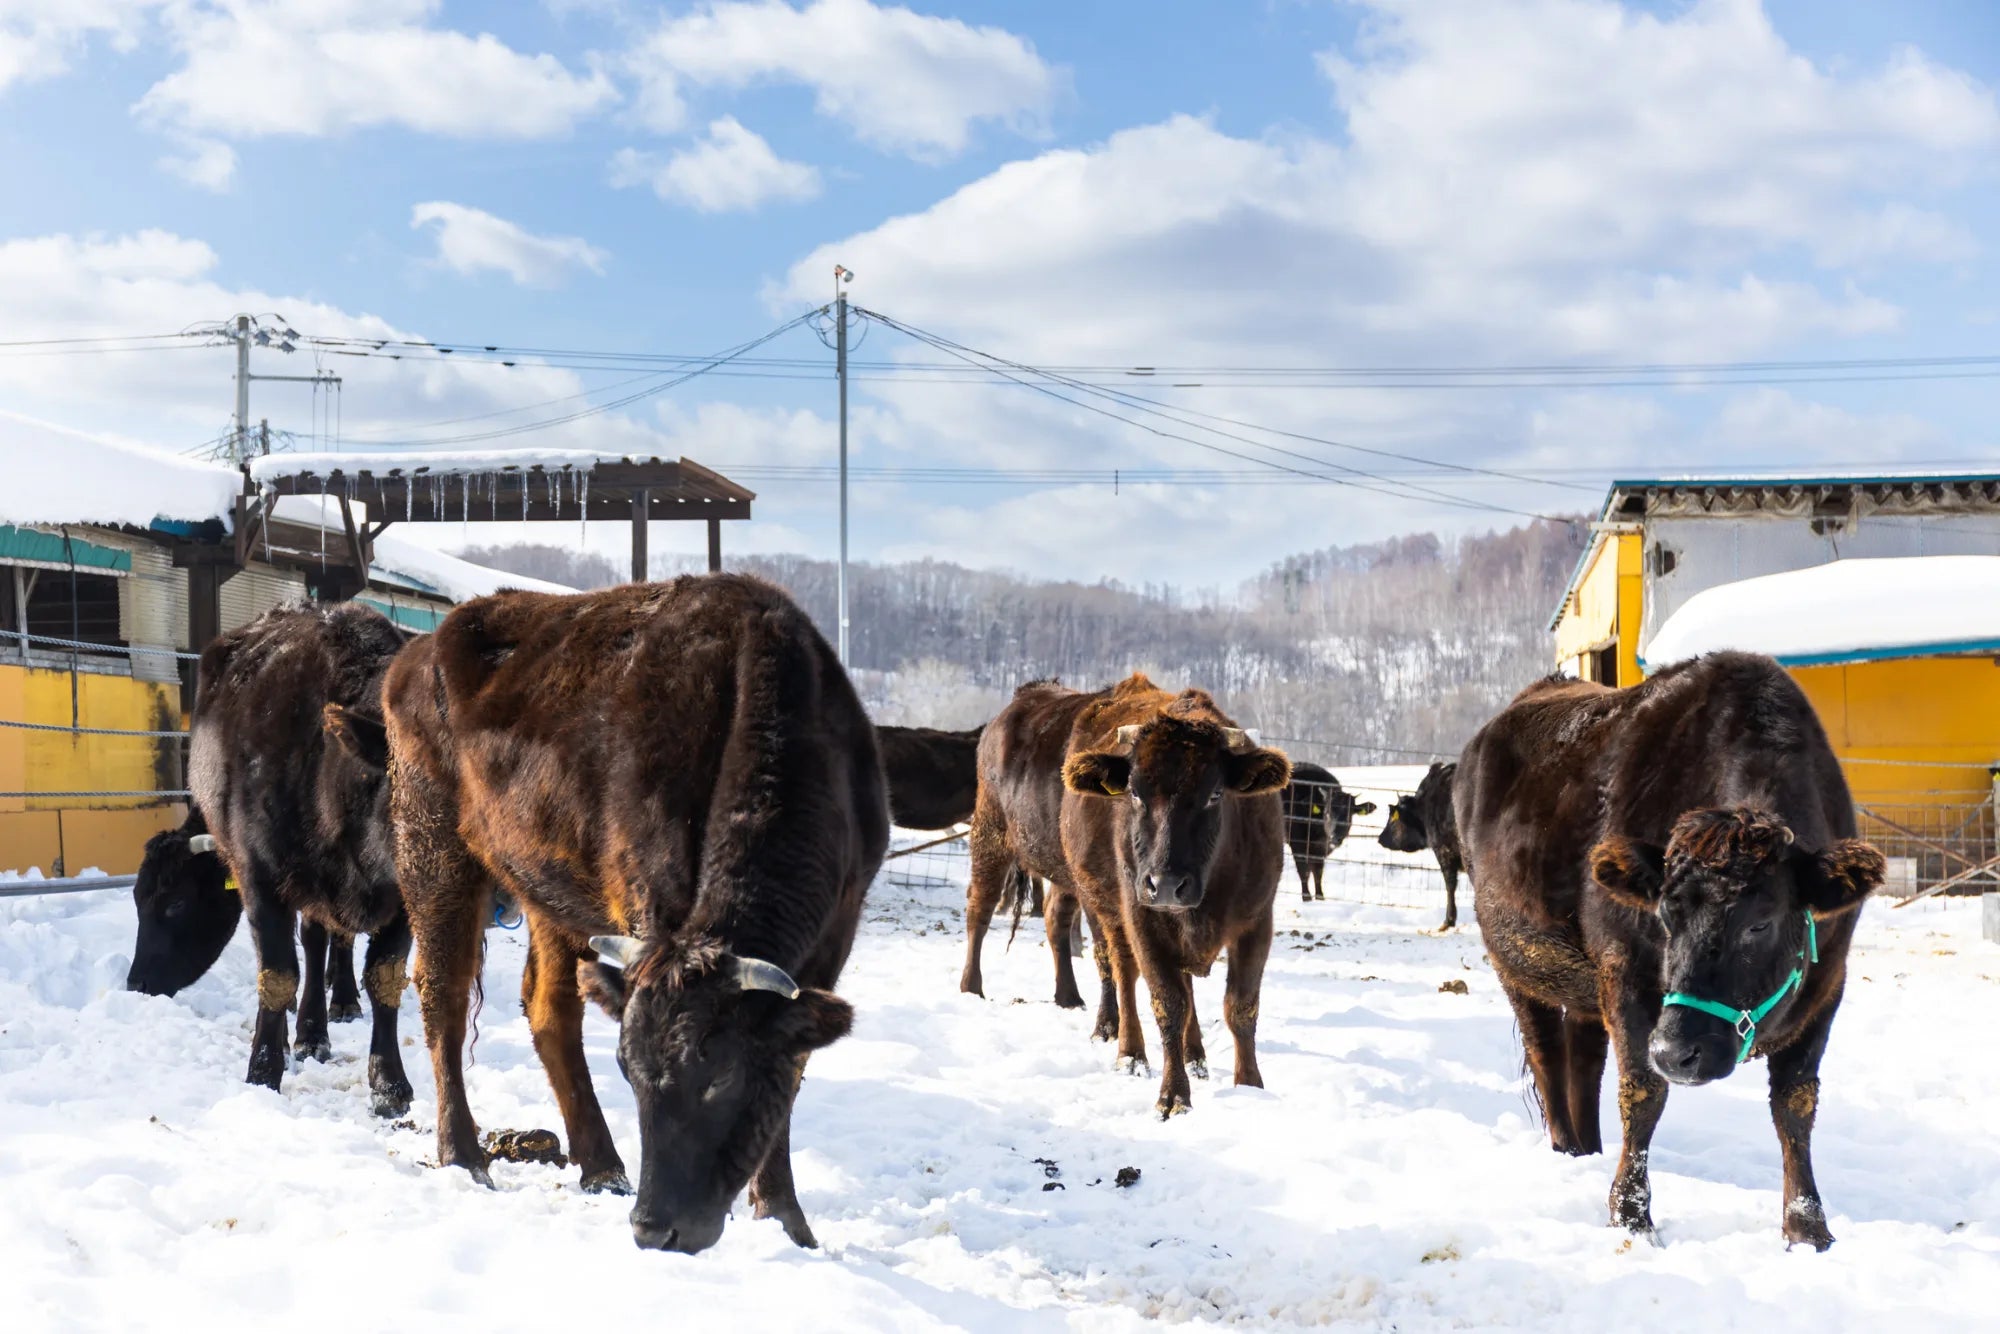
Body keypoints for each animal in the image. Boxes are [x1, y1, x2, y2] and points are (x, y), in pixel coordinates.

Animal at [184, 603, 414, 1116]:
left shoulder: (406, 905)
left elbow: (385, 978)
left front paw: (390, 1085)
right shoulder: (261, 879)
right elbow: (277, 976)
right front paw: (263, 1071)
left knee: (318, 942)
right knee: (304, 951)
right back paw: (304, 1037)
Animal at [383, 575, 887, 1254]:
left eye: (721, 1076)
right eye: (629, 1071)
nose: (653, 1229)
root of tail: (419, 650)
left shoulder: (835, 935)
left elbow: (793, 1068)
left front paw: (785, 1218)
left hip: (549, 889)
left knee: (550, 1009)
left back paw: (602, 1166)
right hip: (434, 848)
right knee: (445, 995)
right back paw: (463, 1154)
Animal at [972, 674, 1289, 1118]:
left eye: (1214, 794)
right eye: (1135, 793)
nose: (1166, 883)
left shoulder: (1257, 922)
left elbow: (1240, 1007)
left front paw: (1249, 1086)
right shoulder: (1142, 920)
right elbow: (1167, 1003)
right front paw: (1173, 1095)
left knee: (1059, 922)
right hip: (995, 837)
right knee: (985, 913)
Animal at [1281, 761, 1375, 901]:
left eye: (1349, 815)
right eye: (1327, 813)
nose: (1336, 838)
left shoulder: (1319, 849)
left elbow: (1318, 872)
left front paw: (1320, 897)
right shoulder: (1298, 843)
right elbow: (1304, 871)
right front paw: (1306, 897)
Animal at [1456, 652, 1885, 1249]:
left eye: (1761, 923)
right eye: (1663, 915)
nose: (1679, 1052)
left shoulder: (1826, 988)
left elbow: (1795, 1106)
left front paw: (1807, 1228)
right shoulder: (1627, 976)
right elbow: (1642, 1093)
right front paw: (1630, 1215)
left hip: (1583, 982)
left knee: (1583, 1058)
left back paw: (1588, 1149)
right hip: (1514, 961)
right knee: (1546, 1053)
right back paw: (1565, 1149)